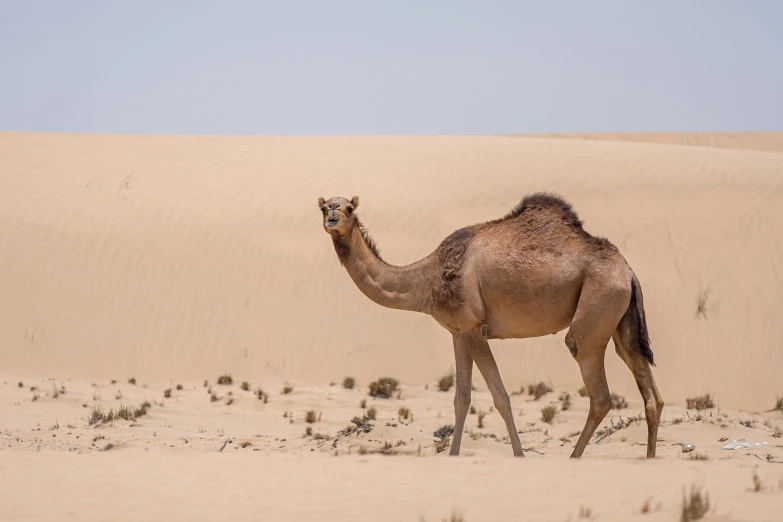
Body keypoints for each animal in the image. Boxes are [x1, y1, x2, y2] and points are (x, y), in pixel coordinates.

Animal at [318, 191, 660, 456]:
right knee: (647, 387)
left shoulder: (474, 329)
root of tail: (628, 272)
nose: (332, 213)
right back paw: (649, 459)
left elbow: (501, 397)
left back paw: (574, 458)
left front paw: (519, 455)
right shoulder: (457, 333)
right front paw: (454, 456)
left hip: (595, 313)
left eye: (349, 208)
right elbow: (461, 398)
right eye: (324, 207)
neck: (427, 279)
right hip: (623, 321)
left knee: (598, 392)